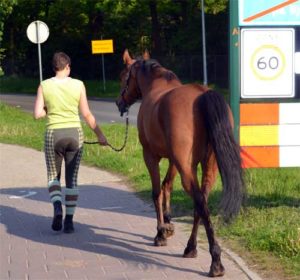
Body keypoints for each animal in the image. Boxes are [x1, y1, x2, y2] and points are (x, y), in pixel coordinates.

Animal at [116, 49, 245, 276]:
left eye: (124, 76)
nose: (119, 103)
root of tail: (202, 94)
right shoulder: (175, 160)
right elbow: (167, 185)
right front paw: (168, 224)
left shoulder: (150, 155)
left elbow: (157, 191)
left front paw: (160, 233)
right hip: (206, 166)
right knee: (201, 201)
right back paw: (191, 247)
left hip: (186, 169)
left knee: (200, 202)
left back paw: (215, 261)